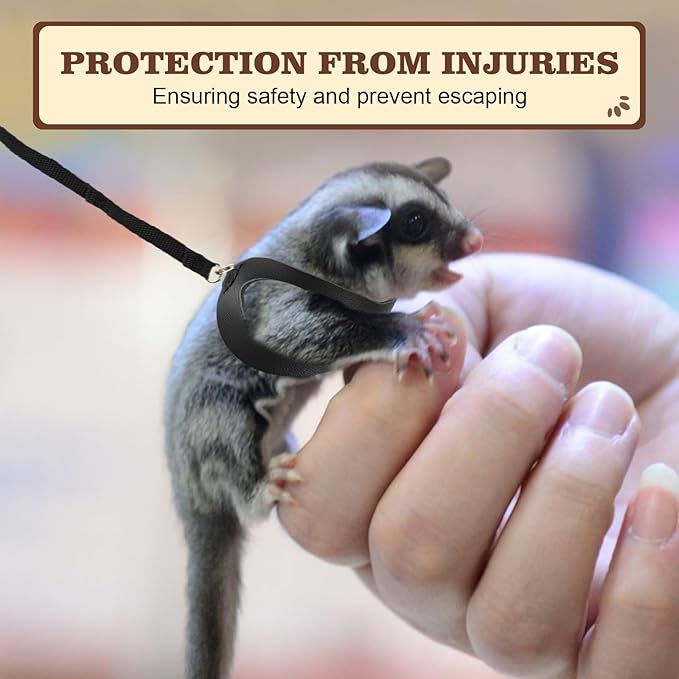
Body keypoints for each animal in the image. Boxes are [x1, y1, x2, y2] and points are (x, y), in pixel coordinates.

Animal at [164, 157, 483, 679]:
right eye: (416, 223)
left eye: (445, 203)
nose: (475, 240)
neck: (324, 263)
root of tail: (189, 501)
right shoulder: (279, 297)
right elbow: (289, 333)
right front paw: (403, 330)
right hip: (203, 433)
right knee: (223, 416)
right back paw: (257, 489)